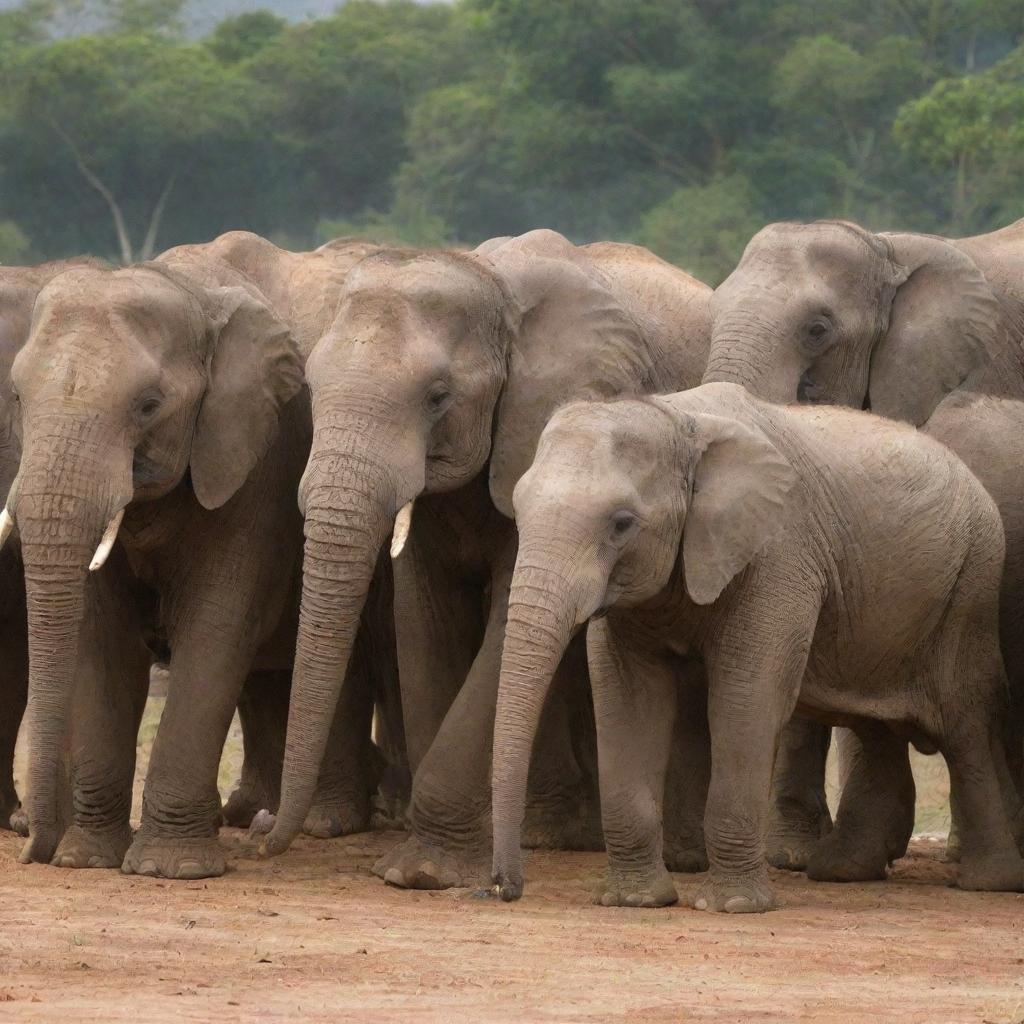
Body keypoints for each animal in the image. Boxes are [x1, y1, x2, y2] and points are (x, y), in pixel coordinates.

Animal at [4, 234, 401, 880]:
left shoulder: (255, 460)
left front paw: (170, 869)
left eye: (148, 405)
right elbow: (101, 637)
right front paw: (85, 860)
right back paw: (251, 816)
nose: (29, 848)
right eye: (17, 396)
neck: (184, 288)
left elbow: (217, 626)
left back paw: (322, 823)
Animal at [258, 226, 712, 888]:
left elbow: (502, 630)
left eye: (438, 396)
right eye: (313, 387)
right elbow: (426, 624)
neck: (490, 283)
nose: (263, 835)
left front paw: (423, 874)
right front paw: (422, 865)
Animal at [489, 380, 1024, 909]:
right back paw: (843, 871)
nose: (501, 887)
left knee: (965, 724)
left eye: (622, 522)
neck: (675, 419)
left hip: (971, 586)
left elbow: (747, 696)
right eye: (518, 510)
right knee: (875, 726)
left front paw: (732, 907)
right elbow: (629, 698)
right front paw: (635, 901)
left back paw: (988, 883)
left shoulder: (778, 555)